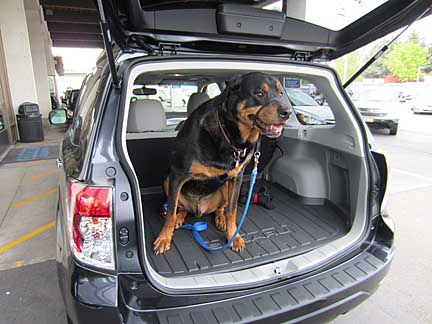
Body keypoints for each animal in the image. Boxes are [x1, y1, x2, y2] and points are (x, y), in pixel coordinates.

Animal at [154, 72, 292, 254]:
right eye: (259, 93)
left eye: (281, 93)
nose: (287, 112)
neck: (232, 136)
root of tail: (199, 211)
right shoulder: (177, 173)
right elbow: (170, 211)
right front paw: (164, 237)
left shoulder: (236, 178)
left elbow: (232, 211)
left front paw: (233, 236)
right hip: (167, 180)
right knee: (180, 207)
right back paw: (179, 218)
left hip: (225, 187)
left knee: (220, 208)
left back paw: (220, 219)